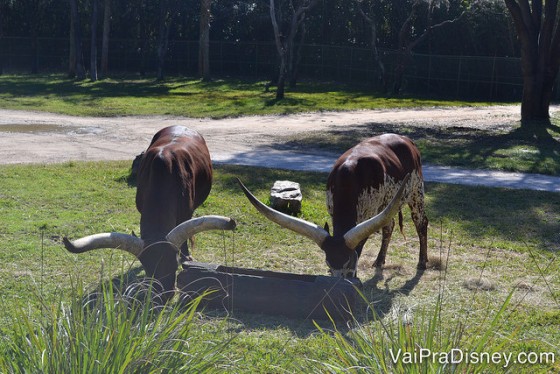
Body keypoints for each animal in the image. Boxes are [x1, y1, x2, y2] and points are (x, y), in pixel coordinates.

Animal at [237, 134, 428, 278]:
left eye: (348, 264)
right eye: (328, 264)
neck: (349, 178)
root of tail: (405, 139)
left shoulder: (369, 213)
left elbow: (360, 247)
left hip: (415, 191)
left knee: (421, 222)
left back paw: (422, 262)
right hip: (387, 203)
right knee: (389, 226)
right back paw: (380, 260)